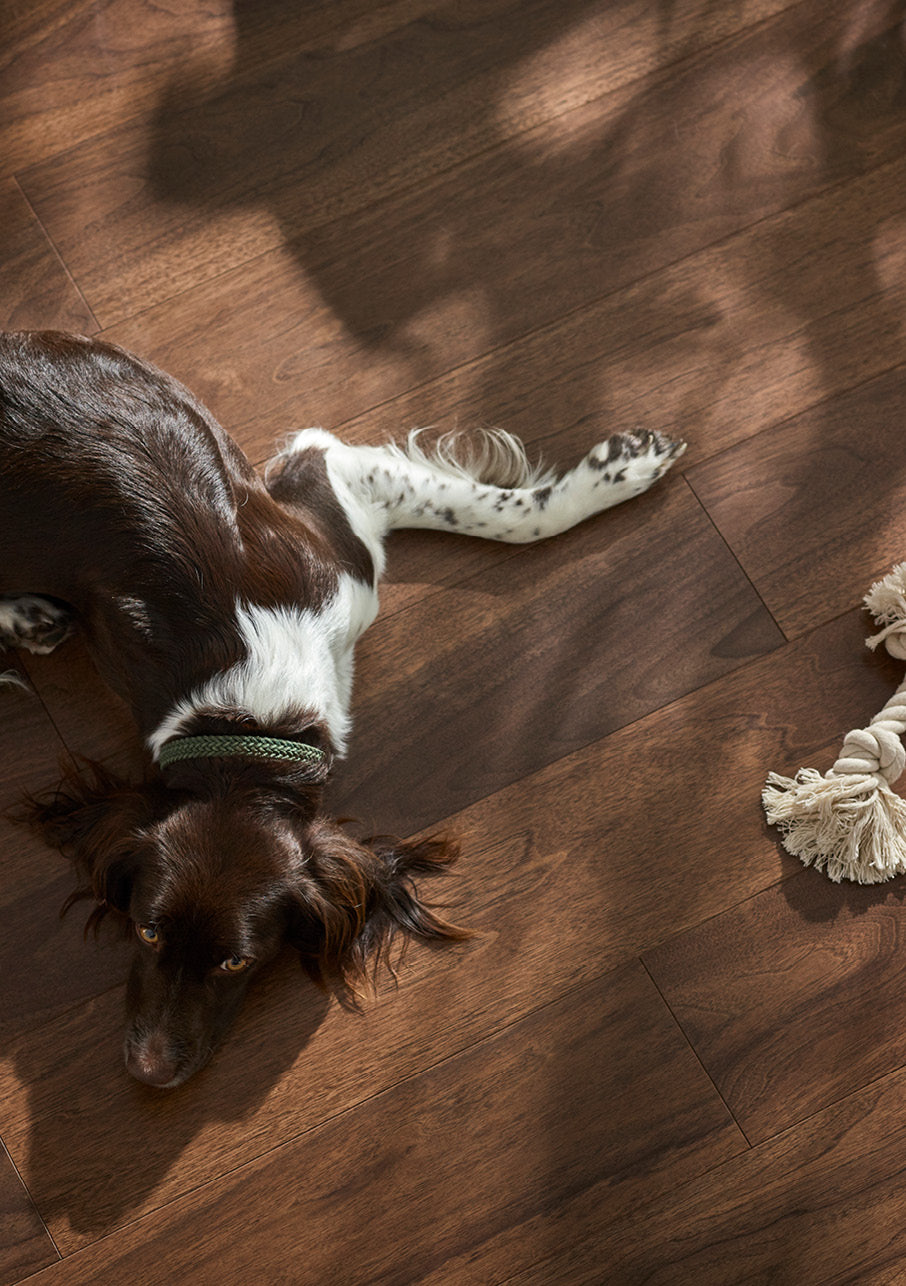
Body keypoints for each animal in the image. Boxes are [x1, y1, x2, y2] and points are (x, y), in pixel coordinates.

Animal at [0, 329, 683, 1085]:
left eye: (236, 960)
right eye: (147, 930)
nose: (149, 1075)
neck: (249, 722)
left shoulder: (331, 492)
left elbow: (504, 515)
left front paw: (613, 473)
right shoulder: (322, 477)